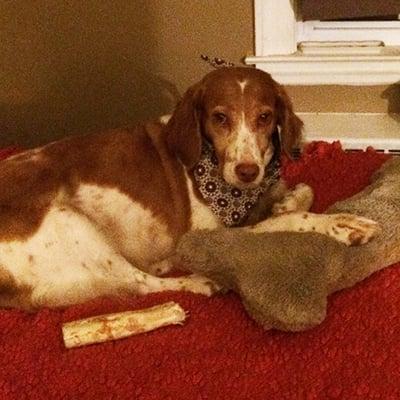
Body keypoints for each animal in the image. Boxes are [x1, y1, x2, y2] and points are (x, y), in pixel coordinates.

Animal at [0, 67, 378, 310]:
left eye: (265, 117)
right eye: (220, 117)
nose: (247, 172)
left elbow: (302, 191)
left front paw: (286, 201)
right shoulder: (207, 234)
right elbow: (290, 220)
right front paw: (341, 224)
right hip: (71, 222)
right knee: (140, 284)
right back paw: (197, 280)